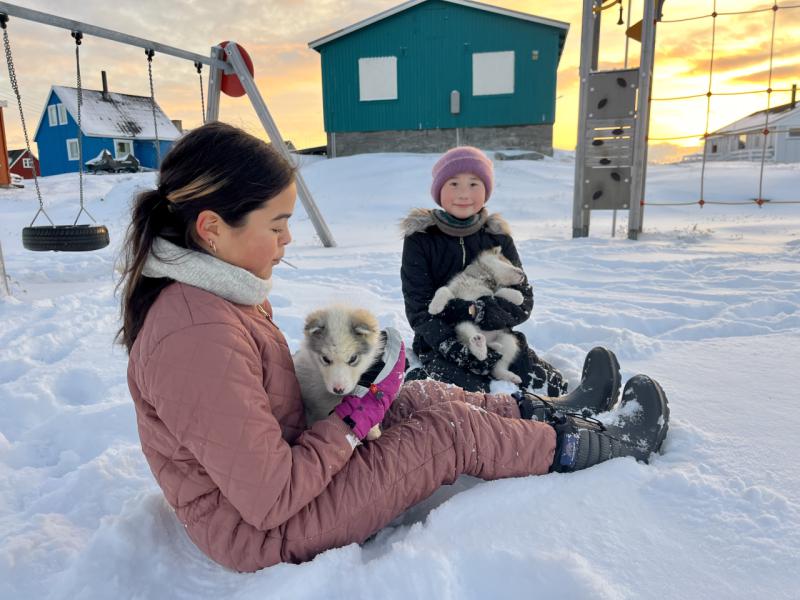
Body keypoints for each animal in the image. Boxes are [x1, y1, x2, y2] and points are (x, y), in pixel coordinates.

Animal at [428, 247, 528, 384]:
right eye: (507, 261)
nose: (523, 274)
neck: (484, 277)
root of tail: (489, 343)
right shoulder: (454, 290)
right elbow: (443, 290)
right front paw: (435, 307)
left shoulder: (491, 294)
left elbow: (499, 293)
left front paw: (518, 296)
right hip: (463, 325)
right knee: (471, 341)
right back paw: (479, 346)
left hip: (508, 340)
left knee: (497, 367)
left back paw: (509, 375)